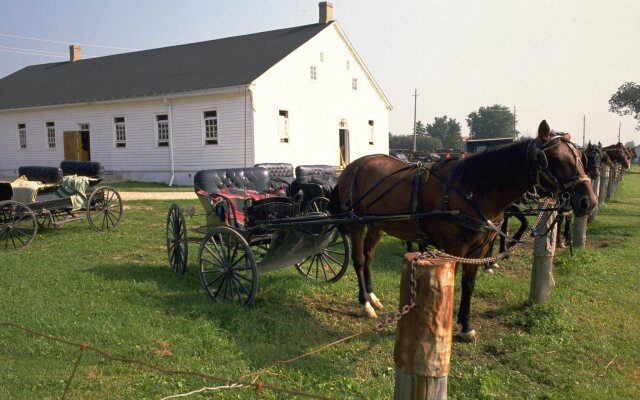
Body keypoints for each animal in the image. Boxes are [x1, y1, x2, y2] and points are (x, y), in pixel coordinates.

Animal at [332, 120, 596, 340]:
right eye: (557, 158)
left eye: (580, 157)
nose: (588, 201)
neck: (471, 188)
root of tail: (353, 166)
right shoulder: (454, 248)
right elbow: (451, 283)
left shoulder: (479, 248)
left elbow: (469, 283)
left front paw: (466, 325)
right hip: (356, 224)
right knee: (358, 260)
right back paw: (364, 304)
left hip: (376, 225)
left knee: (368, 258)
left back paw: (372, 297)